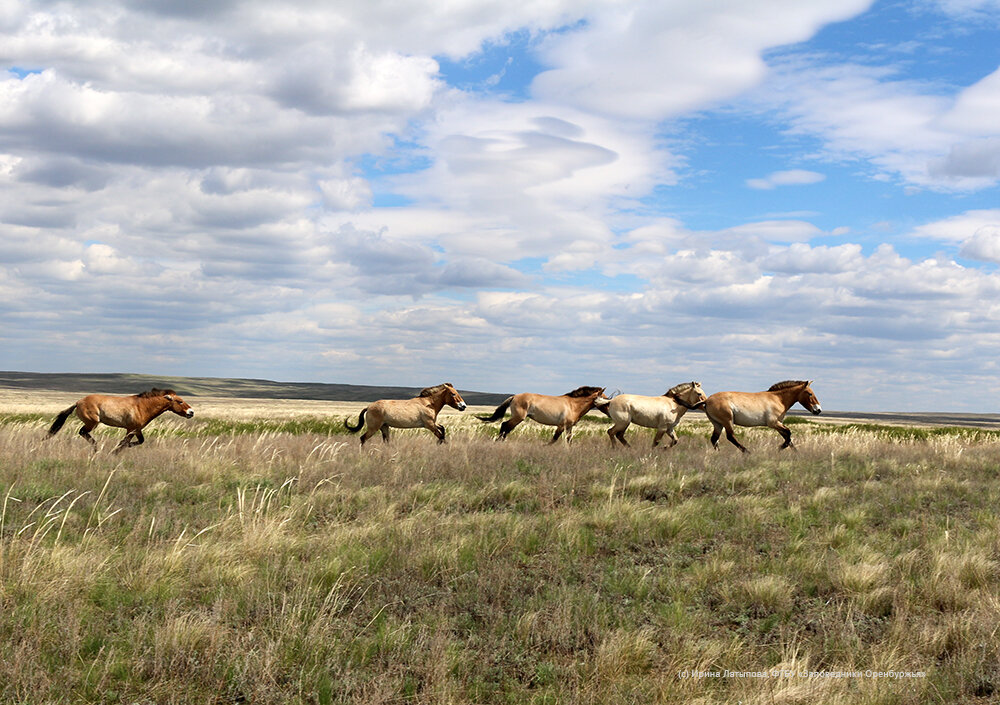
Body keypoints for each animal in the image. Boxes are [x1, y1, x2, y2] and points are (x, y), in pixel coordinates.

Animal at [47, 388, 195, 454]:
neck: (142, 406)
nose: (191, 412)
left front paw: (118, 449)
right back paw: (96, 448)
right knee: (82, 432)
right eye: (180, 401)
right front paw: (114, 451)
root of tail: (78, 402)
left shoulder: (137, 429)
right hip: (92, 423)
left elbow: (139, 441)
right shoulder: (131, 429)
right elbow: (125, 442)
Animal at [478, 384, 608, 440]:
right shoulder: (562, 425)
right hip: (518, 417)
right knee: (505, 426)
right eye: (605, 397)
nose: (609, 407)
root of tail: (514, 396)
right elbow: (554, 438)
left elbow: (568, 440)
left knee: (505, 427)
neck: (573, 405)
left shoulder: (569, 427)